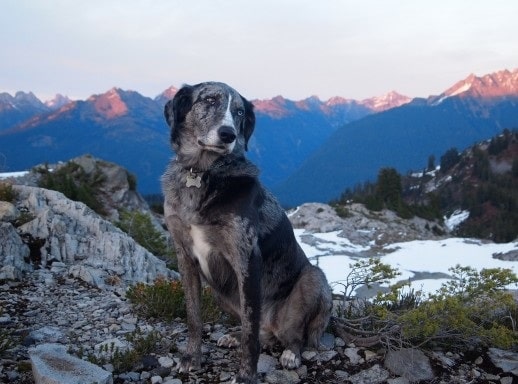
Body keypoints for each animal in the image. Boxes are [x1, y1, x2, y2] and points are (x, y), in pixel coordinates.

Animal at [161, 82, 334, 382]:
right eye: (209, 100)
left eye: (240, 112)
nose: (228, 134)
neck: (202, 173)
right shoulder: (185, 257)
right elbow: (193, 317)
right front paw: (191, 358)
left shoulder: (246, 259)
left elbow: (250, 337)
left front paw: (245, 375)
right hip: (221, 292)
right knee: (258, 331)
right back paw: (233, 336)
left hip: (313, 280)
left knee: (292, 335)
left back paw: (290, 354)